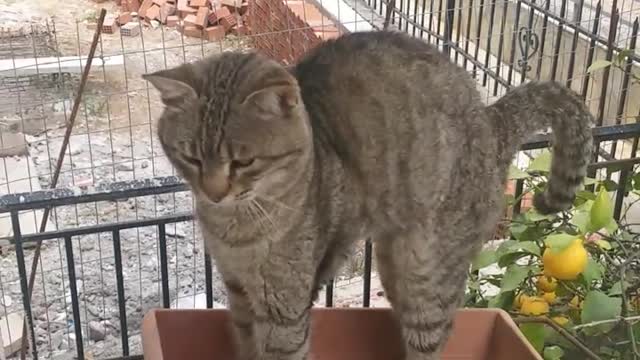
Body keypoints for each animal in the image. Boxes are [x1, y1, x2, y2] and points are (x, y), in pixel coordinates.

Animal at [145, 31, 596, 360]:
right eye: (189, 156)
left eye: (244, 161)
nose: (214, 192)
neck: (238, 227)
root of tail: (490, 118)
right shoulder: (238, 292)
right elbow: (244, 347)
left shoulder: (287, 303)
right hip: (392, 262)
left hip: (425, 276)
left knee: (433, 339)